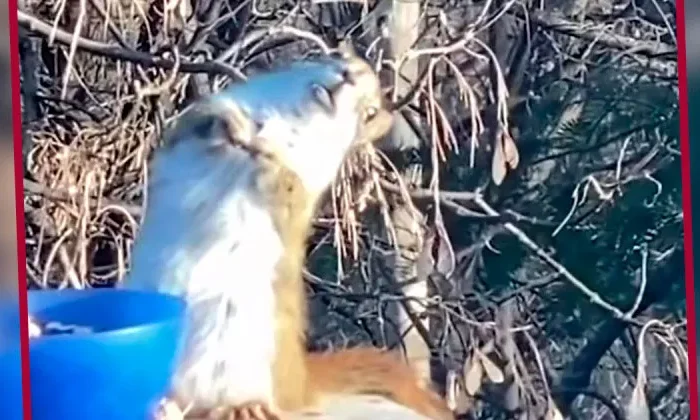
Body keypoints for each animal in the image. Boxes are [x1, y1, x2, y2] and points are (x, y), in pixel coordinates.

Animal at [121, 44, 454, 420]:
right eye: (338, 57)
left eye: (368, 113)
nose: (346, 77)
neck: (287, 120)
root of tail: (298, 385)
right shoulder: (199, 121)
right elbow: (202, 122)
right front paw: (231, 127)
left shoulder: (307, 183)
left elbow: (287, 189)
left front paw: (269, 159)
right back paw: (163, 404)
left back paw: (243, 409)